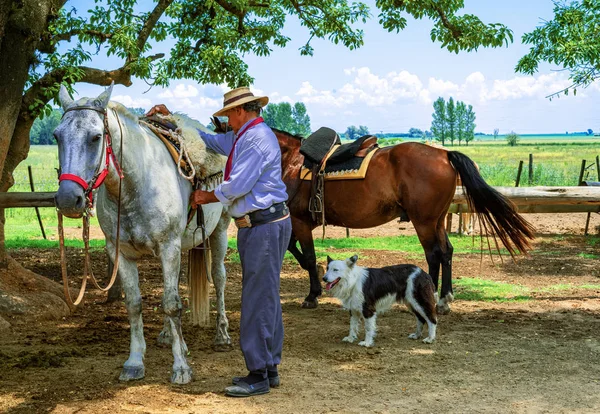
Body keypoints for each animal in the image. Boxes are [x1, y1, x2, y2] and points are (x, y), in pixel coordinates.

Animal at [54, 84, 230, 384]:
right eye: (57, 136)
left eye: (96, 137)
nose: (68, 199)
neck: (137, 184)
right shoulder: (122, 254)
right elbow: (135, 304)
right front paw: (135, 362)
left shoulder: (168, 247)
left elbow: (171, 304)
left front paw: (181, 368)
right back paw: (169, 336)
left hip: (220, 230)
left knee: (218, 278)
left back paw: (222, 335)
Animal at [274, 131, 536, 312]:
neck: (290, 162)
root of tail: (444, 154)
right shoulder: (294, 222)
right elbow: (293, 250)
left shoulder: (299, 221)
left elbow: (308, 257)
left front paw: (312, 295)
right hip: (437, 220)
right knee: (447, 251)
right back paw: (445, 298)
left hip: (424, 221)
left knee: (434, 254)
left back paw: (431, 297)